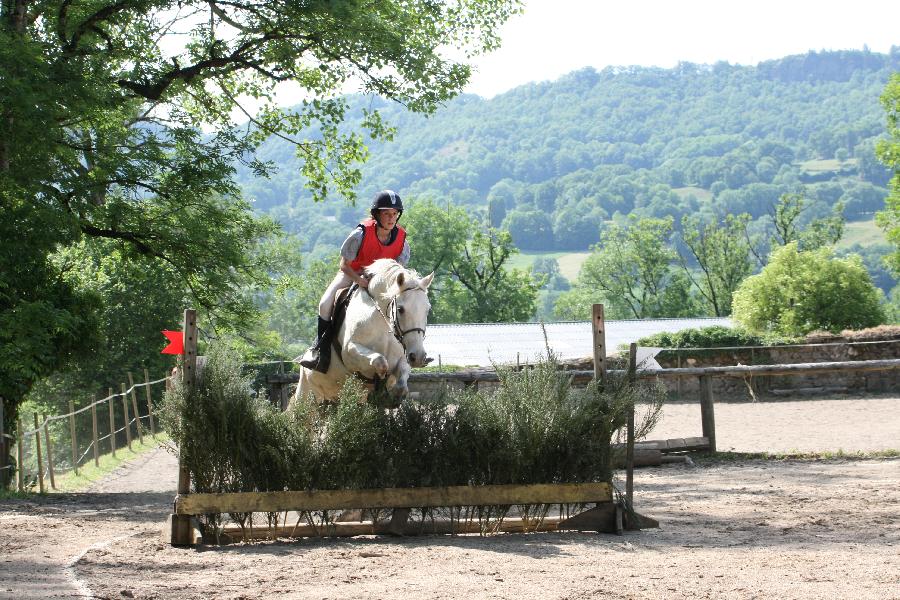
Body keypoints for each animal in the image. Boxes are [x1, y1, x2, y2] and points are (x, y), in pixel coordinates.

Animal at [290, 258, 434, 406]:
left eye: (427, 309)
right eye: (400, 309)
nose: (418, 357)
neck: (383, 321)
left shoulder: (404, 355)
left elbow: (402, 377)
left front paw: (390, 396)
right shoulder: (350, 351)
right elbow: (380, 361)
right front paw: (379, 383)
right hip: (306, 393)